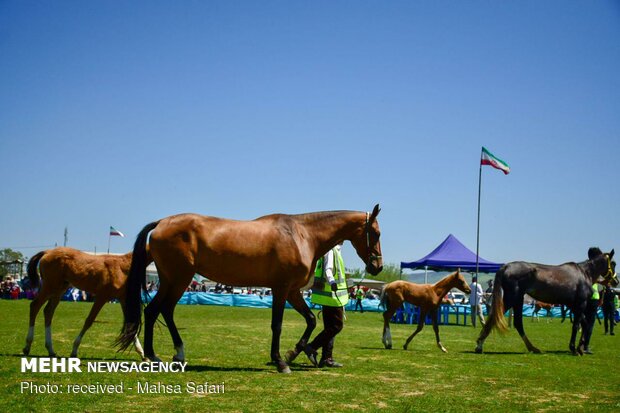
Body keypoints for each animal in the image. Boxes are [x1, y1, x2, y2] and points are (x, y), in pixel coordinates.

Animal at [114, 206, 380, 374]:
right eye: (376, 233)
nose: (377, 266)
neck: (302, 235)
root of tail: (161, 223)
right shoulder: (281, 289)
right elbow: (277, 325)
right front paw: (281, 362)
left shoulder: (293, 291)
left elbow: (311, 320)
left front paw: (298, 351)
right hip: (179, 279)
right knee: (160, 310)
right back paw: (161, 356)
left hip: (171, 280)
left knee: (157, 311)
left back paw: (165, 355)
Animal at [474, 246, 616, 356]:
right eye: (613, 264)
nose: (616, 281)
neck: (584, 273)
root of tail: (505, 267)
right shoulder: (581, 304)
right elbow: (577, 325)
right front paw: (574, 349)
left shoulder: (573, 305)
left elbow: (584, 324)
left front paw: (580, 348)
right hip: (512, 298)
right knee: (495, 318)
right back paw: (480, 345)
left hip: (518, 299)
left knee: (517, 323)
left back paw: (533, 348)